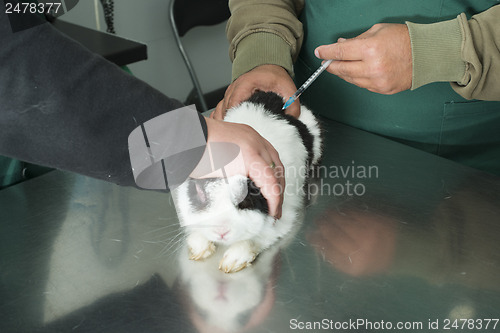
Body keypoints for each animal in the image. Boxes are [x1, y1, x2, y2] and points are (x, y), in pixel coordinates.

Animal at [171, 91, 320, 272]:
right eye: (200, 195)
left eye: (246, 200)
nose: (221, 232)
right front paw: (199, 249)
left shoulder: (281, 217)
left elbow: (254, 239)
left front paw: (231, 262)